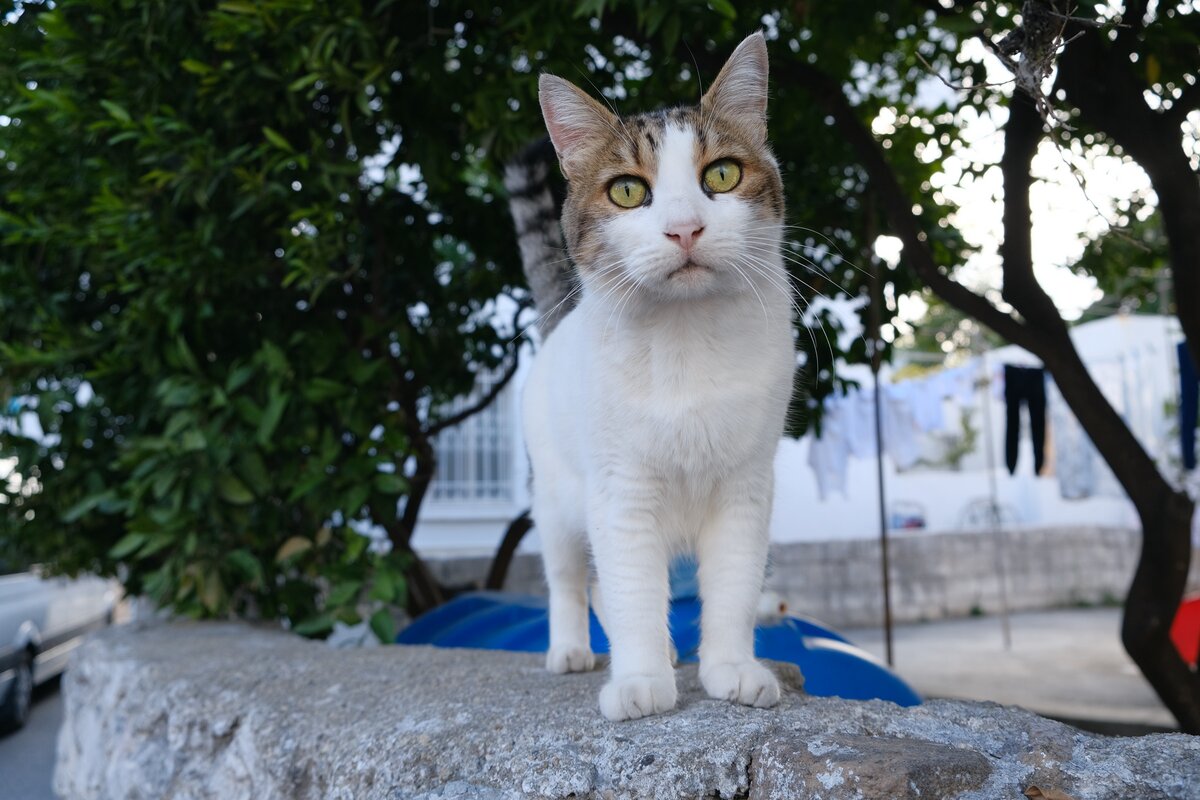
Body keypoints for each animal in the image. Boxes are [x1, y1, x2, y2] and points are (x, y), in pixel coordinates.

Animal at [506, 31, 796, 724]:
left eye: (721, 175)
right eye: (628, 192)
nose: (684, 228)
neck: (686, 342)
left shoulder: (746, 488)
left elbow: (733, 587)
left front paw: (730, 669)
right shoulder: (622, 493)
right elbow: (632, 589)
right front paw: (639, 679)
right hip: (556, 504)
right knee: (571, 581)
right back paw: (572, 651)